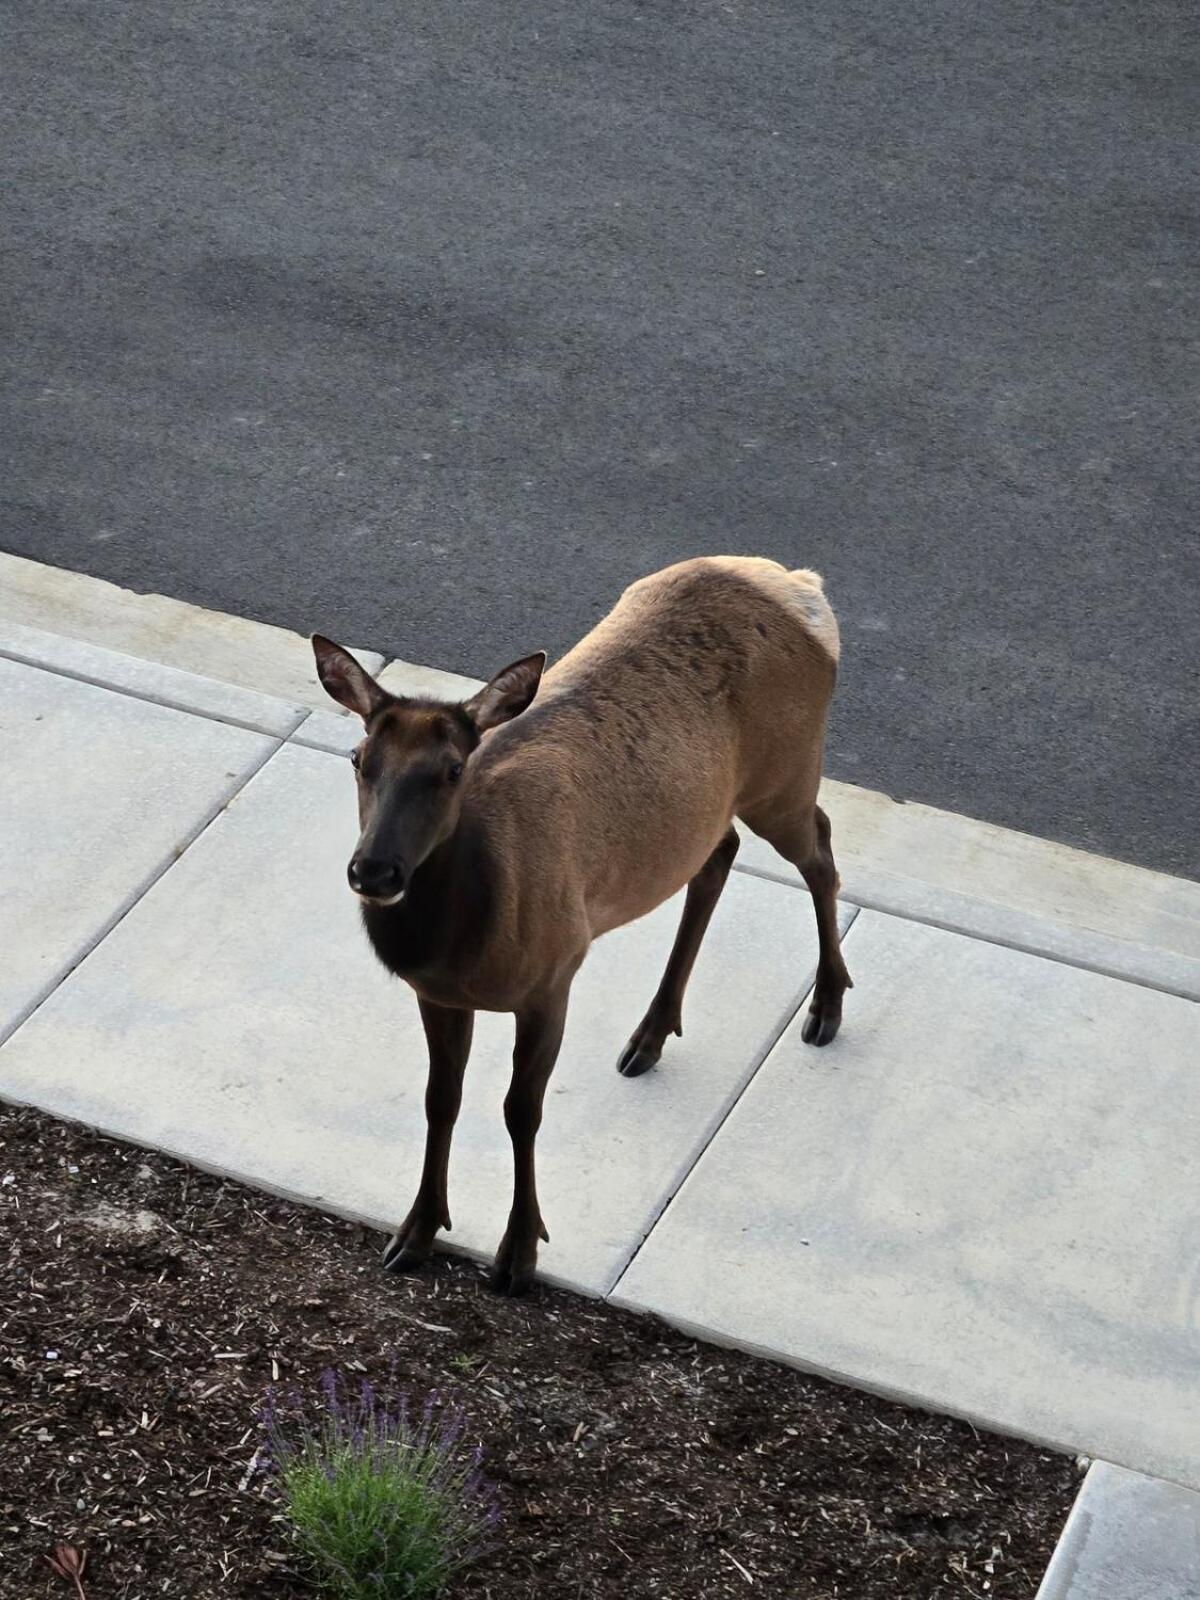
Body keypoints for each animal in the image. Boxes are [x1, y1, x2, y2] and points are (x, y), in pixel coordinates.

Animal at [315, 556, 851, 1292]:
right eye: (357, 760)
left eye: (452, 769)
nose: (375, 871)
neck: (465, 948)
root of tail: (802, 589)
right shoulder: (438, 995)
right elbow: (440, 1098)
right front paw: (416, 1230)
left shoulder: (555, 973)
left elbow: (521, 1110)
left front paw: (520, 1251)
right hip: (711, 804)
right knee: (719, 855)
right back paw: (651, 1034)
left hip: (788, 772)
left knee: (822, 851)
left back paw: (827, 1007)